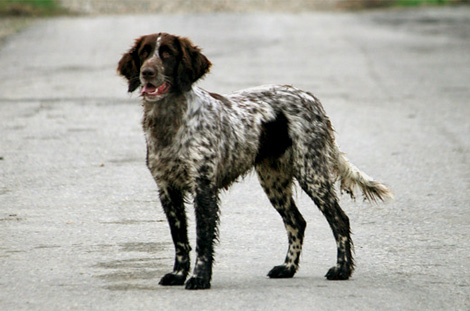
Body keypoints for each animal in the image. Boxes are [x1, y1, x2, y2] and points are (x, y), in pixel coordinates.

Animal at [117, 33, 392, 292]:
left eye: (167, 53)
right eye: (144, 53)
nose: (147, 73)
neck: (170, 121)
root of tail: (311, 98)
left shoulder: (204, 188)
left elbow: (202, 240)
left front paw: (199, 278)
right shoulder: (167, 190)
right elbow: (180, 239)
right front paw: (177, 274)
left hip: (311, 173)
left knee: (339, 220)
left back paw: (342, 269)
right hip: (274, 181)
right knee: (297, 222)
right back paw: (287, 268)